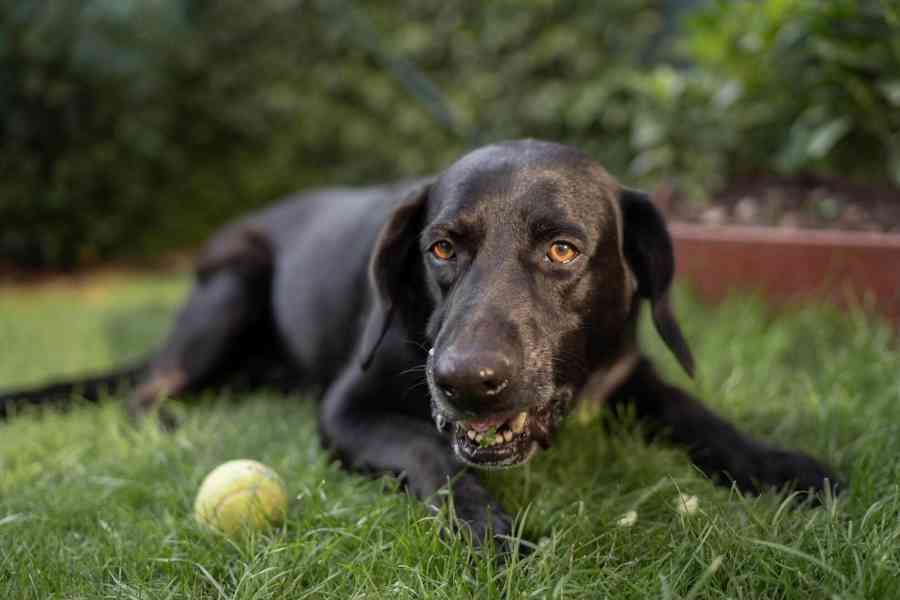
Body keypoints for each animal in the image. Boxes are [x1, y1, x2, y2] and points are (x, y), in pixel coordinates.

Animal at [1, 139, 836, 544]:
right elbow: (432, 449)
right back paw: (168, 423)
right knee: (148, 385)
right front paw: (486, 526)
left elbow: (698, 414)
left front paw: (778, 463)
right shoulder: (346, 412)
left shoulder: (629, 371)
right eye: (441, 247)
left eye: (563, 250)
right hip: (232, 283)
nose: (466, 380)